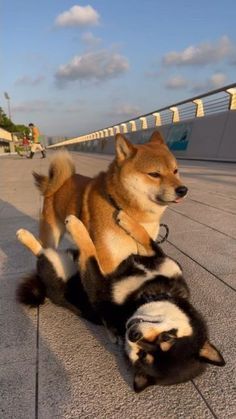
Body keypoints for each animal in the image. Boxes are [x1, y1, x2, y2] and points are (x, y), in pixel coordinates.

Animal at [17, 213, 225, 394]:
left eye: (141, 355)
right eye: (168, 337)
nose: (133, 334)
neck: (149, 291)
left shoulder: (100, 289)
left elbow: (90, 253)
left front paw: (76, 226)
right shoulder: (162, 261)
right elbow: (147, 238)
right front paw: (126, 219)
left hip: (55, 268)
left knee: (43, 254)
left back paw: (25, 236)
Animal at [33, 132, 188, 276]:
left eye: (175, 171)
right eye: (154, 174)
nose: (183, 190)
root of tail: (57, 182)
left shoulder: (147, 254)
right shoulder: (108, 263)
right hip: (51, 237)